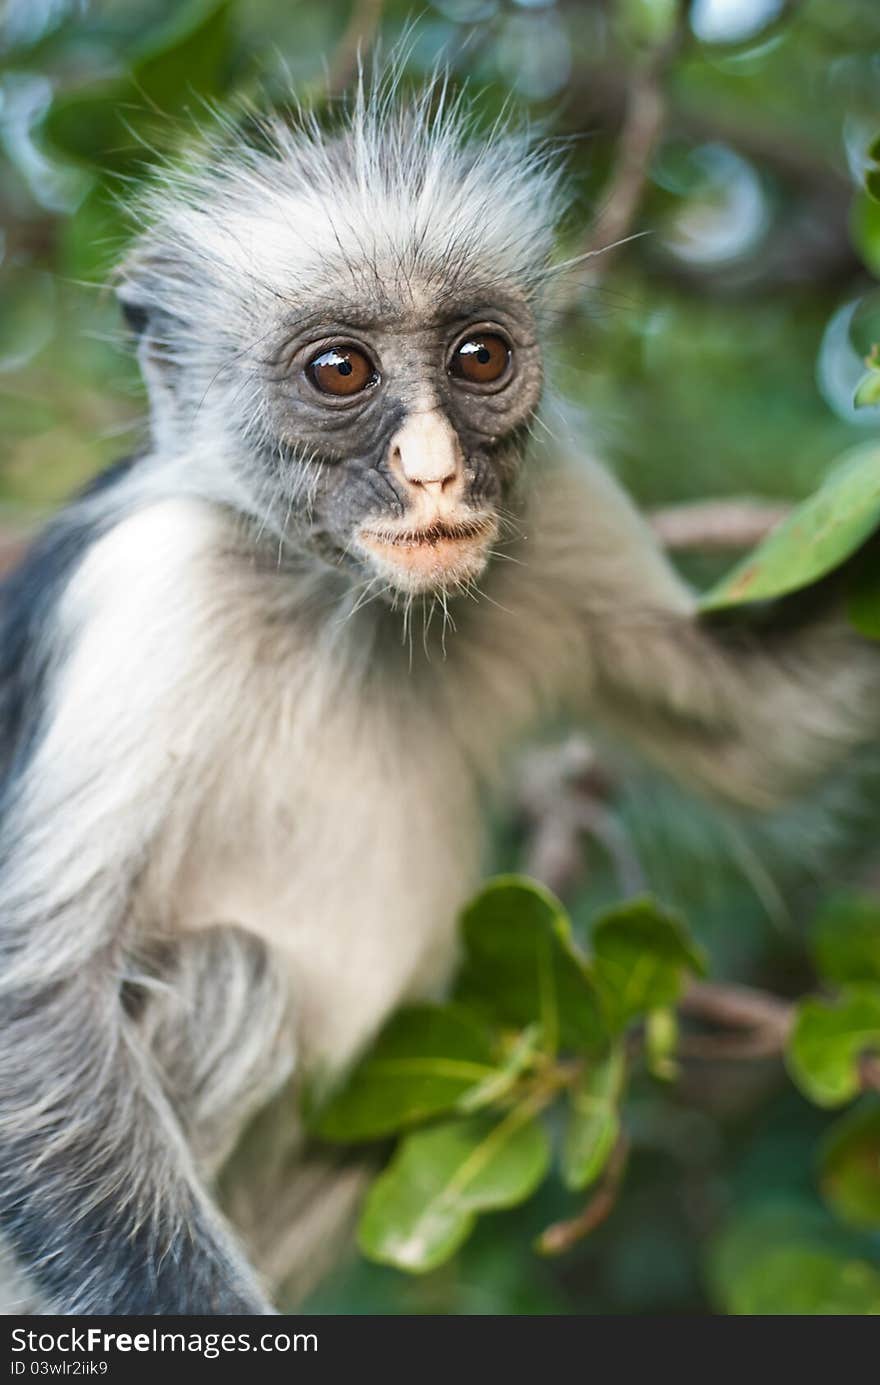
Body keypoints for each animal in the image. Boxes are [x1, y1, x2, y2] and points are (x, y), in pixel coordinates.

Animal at [0, 81, 875, 1312]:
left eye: (478, 355)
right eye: (338, 371)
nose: (434, 468)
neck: (347, 600)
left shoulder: (548, 505)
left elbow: (760, 733)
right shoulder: (150, 588)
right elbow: (36, 1007)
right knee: (233, 975)